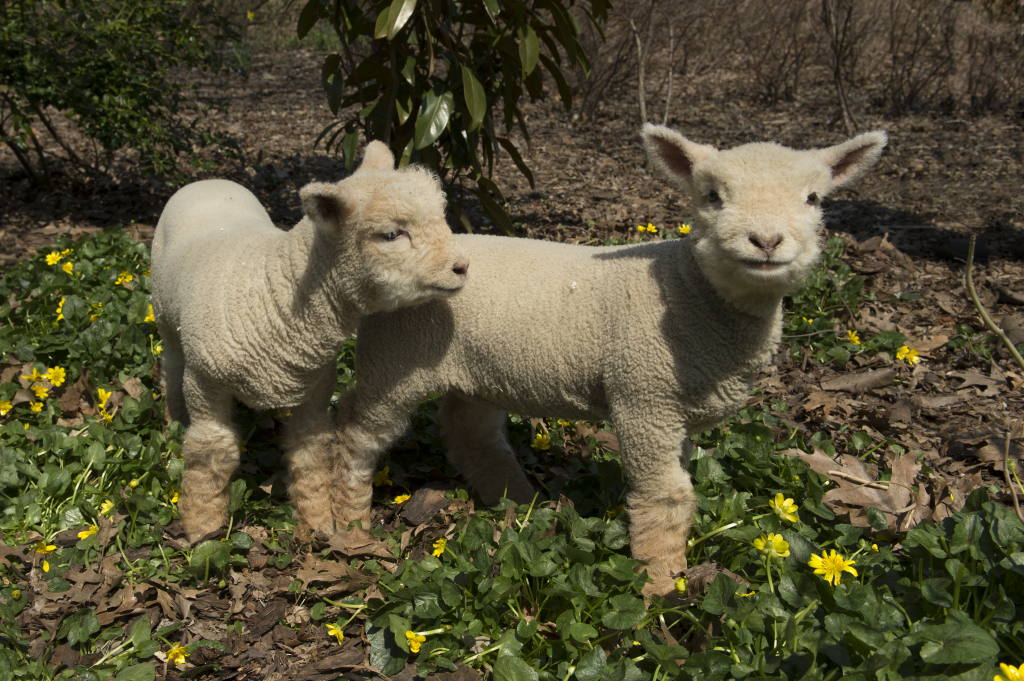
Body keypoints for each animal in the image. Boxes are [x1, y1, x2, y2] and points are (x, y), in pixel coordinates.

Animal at [149, 142, 468, 540]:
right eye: (392, 234)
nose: (462, 267)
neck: (272, 294)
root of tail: (208, 180)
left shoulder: (315, 389)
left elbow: (310, 452)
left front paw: (319, 525)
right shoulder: (206, 384)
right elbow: (212, 452)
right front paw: (202, 528)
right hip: (165, 316)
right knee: (170, 366)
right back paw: (172, 420)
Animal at [329, 123, 888, 593]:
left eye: (813, 198)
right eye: (711, 196)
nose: (767, 241)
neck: (687, 294)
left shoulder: (673, 412)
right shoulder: (644, 397)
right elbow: (665, 496)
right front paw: (662, 586)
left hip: (479, 369)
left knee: (470, 434)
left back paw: (520, 502)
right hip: (395, 361)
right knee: (357, 431)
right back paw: (349, 523)